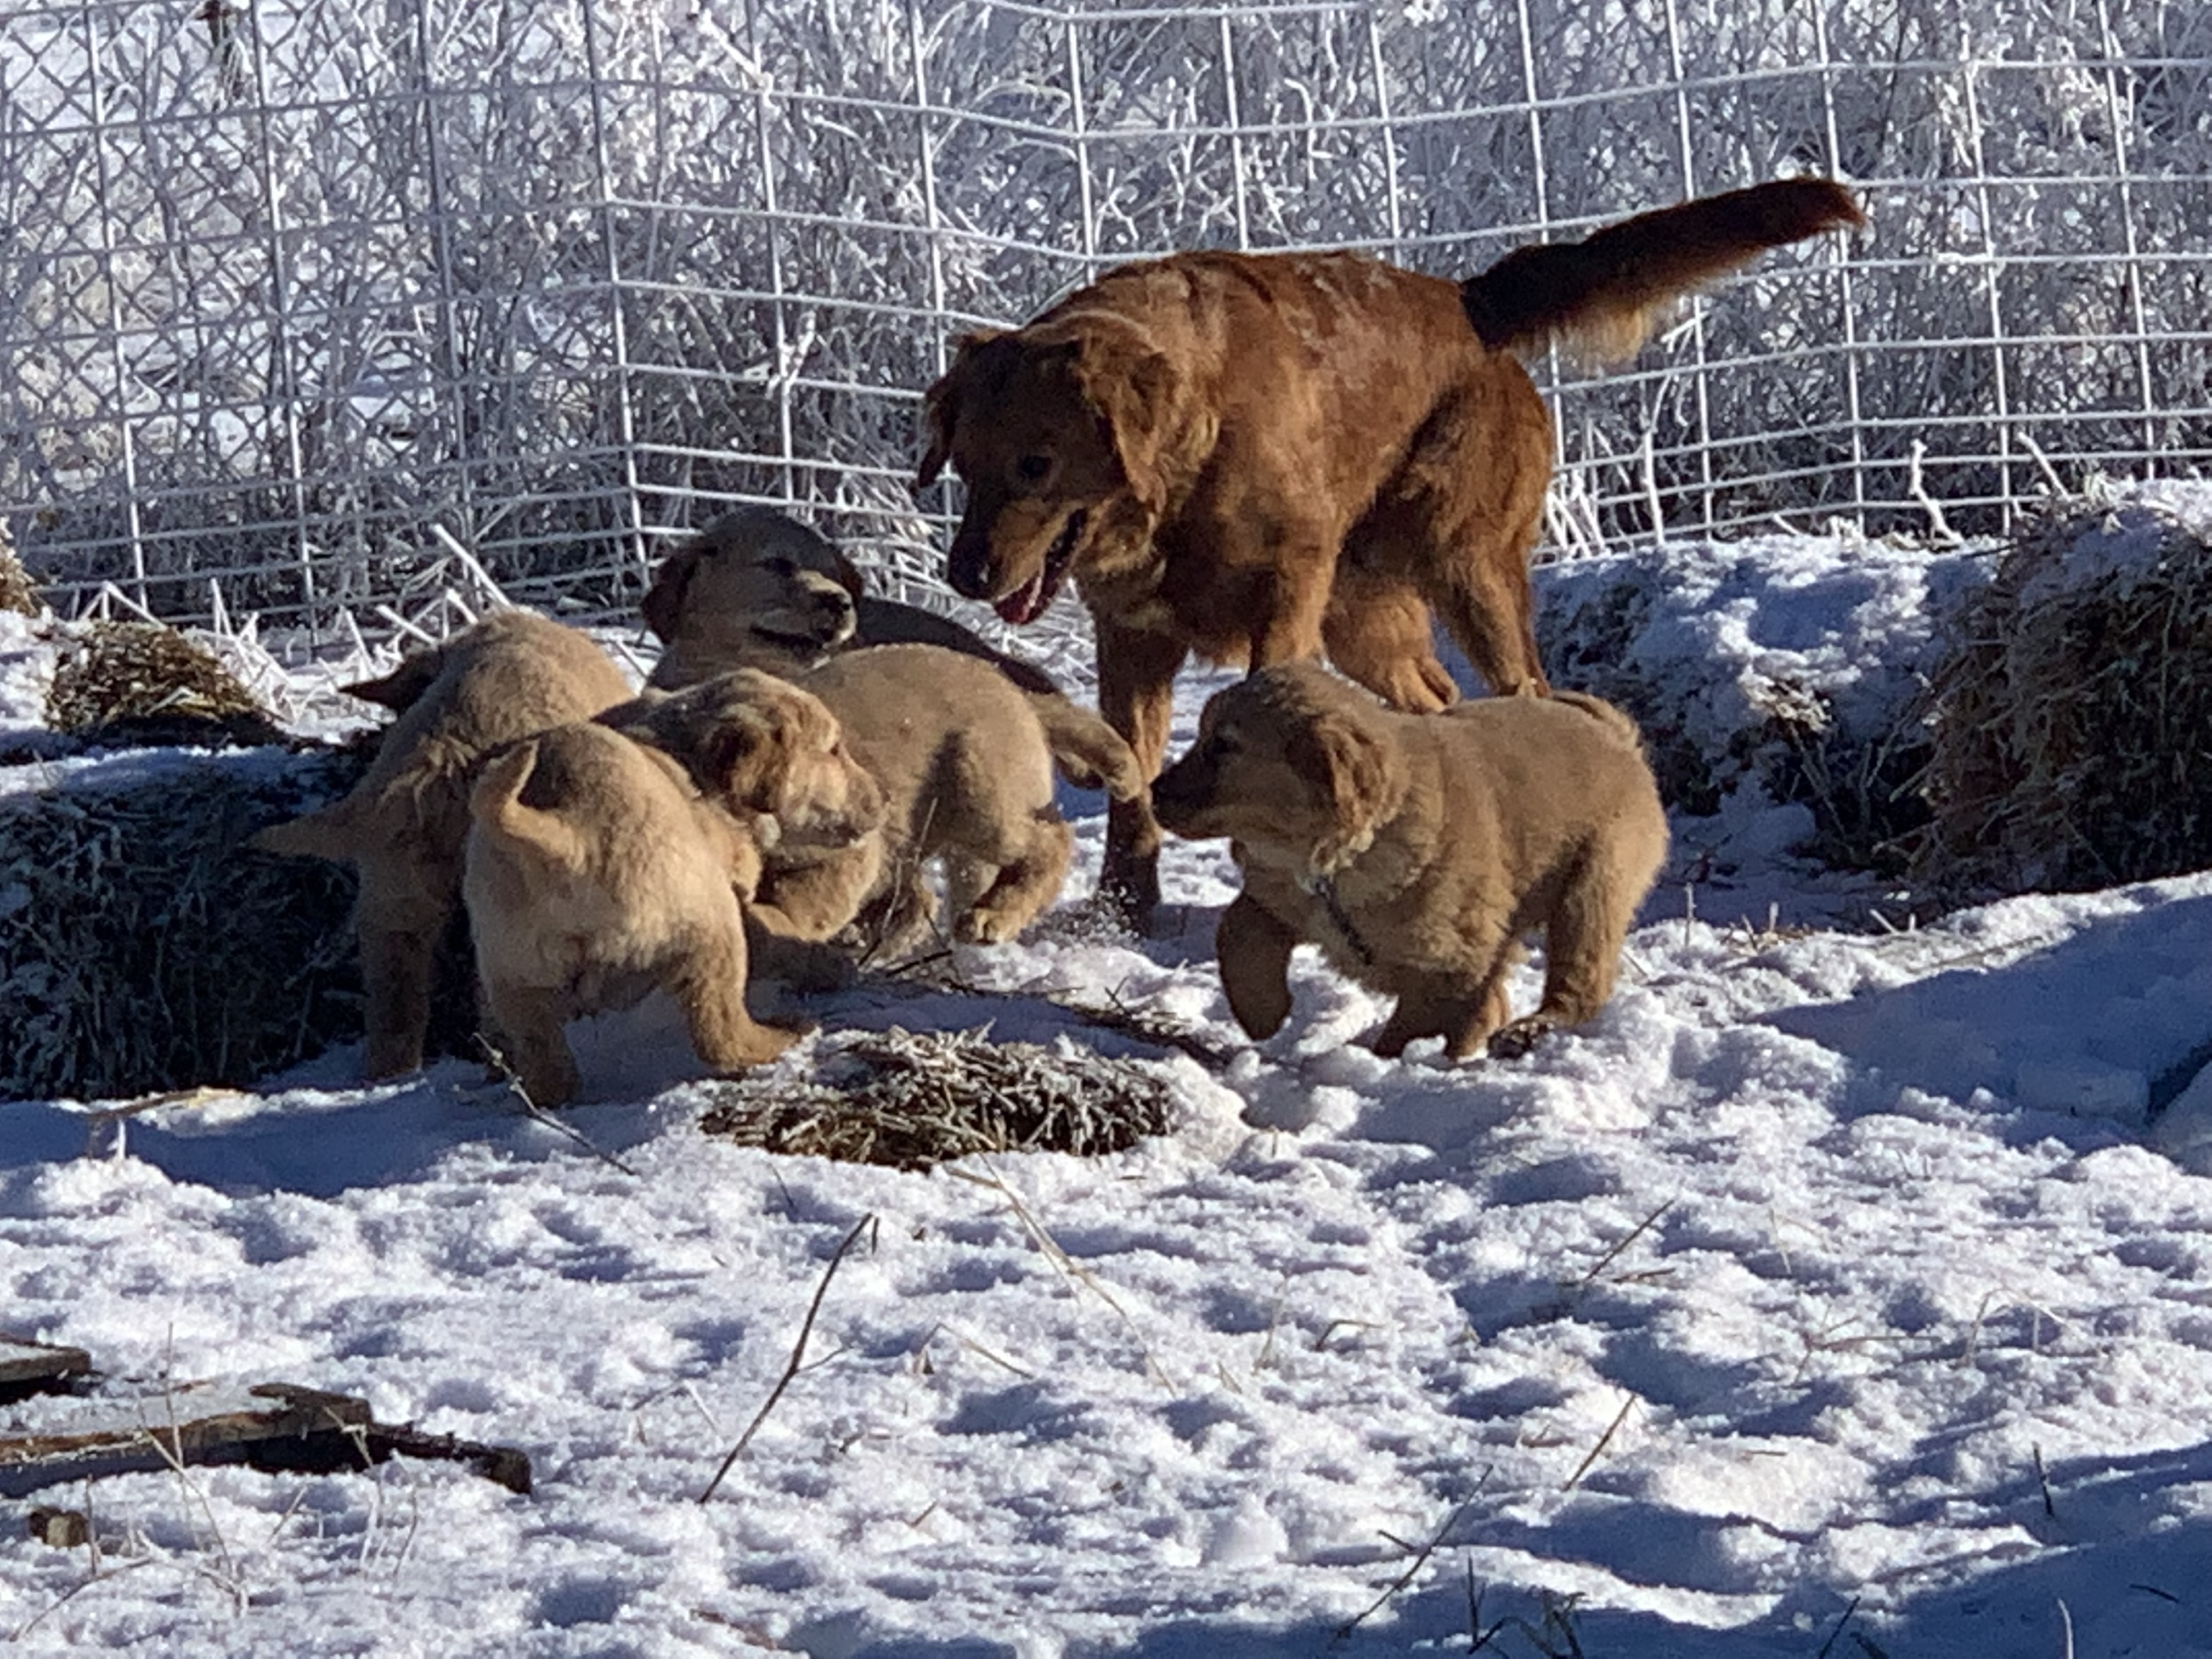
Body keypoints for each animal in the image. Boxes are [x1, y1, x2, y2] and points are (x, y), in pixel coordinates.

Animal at [460, 725, 805, 1106]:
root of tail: (568, 839)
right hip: (706, 927)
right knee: (720, 1031)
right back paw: (786, 1033)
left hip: (513, 973)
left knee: (546, 1062)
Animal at [1159, 668, 1663, 1066]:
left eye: (1224, 747)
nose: (1154, 790)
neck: (1339, 860)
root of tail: (1617, 736)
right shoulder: (1279, 894)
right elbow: (1235, 931)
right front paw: (1262, 1014)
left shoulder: (1451, 959)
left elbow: (1415, 1025)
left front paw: (1390, 1063)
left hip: (1594, 887)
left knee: (1580, 986)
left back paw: (1530, 1029)